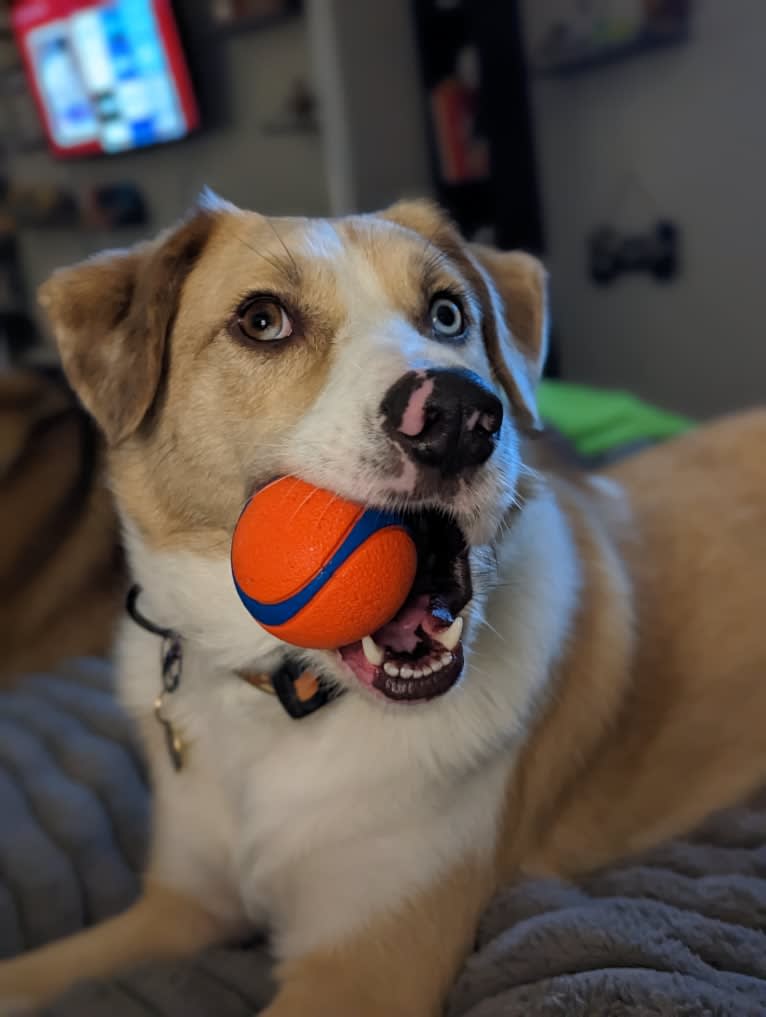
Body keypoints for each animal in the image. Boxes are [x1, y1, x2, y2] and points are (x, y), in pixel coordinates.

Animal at [1, 194, 764, 1012]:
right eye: (262, 320)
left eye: (448, 314)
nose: (460, 414)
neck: (279, 705)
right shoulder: (181, 907)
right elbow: (32, 973)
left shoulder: (362, 965)